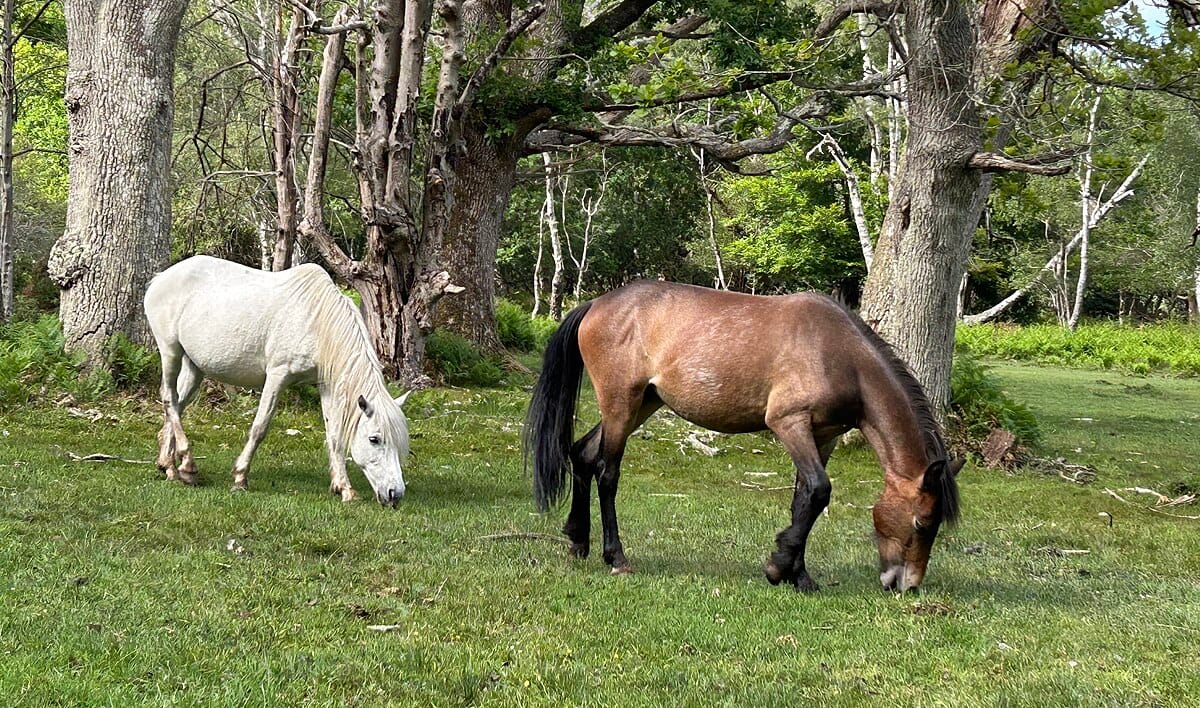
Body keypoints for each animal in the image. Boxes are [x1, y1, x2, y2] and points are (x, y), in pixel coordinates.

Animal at [144, 255, 411, 507]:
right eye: (374, 439)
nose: (395, 494)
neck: (316, 319)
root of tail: (160, 279)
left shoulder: (325, 385)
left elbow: (334, 435)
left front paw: (344, 488)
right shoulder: (277, 376)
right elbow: (260, 427)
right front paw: (240, 477)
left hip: (194, 366)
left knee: (177, 404)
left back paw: (169, 465)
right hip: (170, 352)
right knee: (169, 398)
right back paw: (186, 465)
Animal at [524, 280, 962, 592]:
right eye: (923, 522)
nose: (907, 585)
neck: (839, 354)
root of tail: (596, 305)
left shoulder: (824, 437)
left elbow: (802, 500)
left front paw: (799, 576)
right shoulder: (789, 423)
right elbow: (819, 491)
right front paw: (777, 568)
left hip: (642, 404)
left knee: (582, 455)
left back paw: (578, 540)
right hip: (620, 405)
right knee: (607, 473)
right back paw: (615, 557)